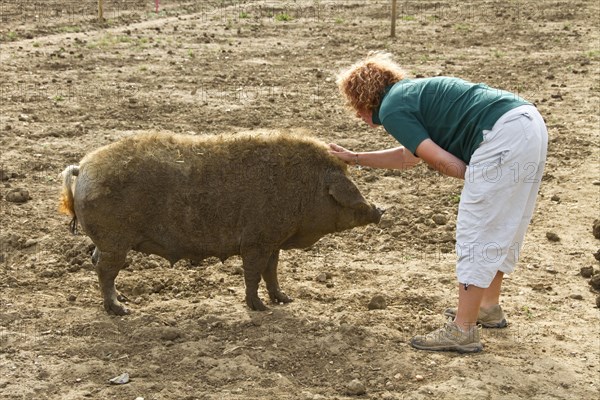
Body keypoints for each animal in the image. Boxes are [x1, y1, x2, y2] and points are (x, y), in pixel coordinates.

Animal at [58, 132, 382, 316]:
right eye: (349, 193)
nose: (380, 210)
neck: (306, 187)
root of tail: (82, 167)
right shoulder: (256, 241)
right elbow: (253, 274)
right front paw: (259, 308)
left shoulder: (272, 241)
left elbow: (272, 272)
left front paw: (285, 300)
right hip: (115, 241)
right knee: (104, 270)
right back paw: (121, 310)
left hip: (107, 242)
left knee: (95, 260)